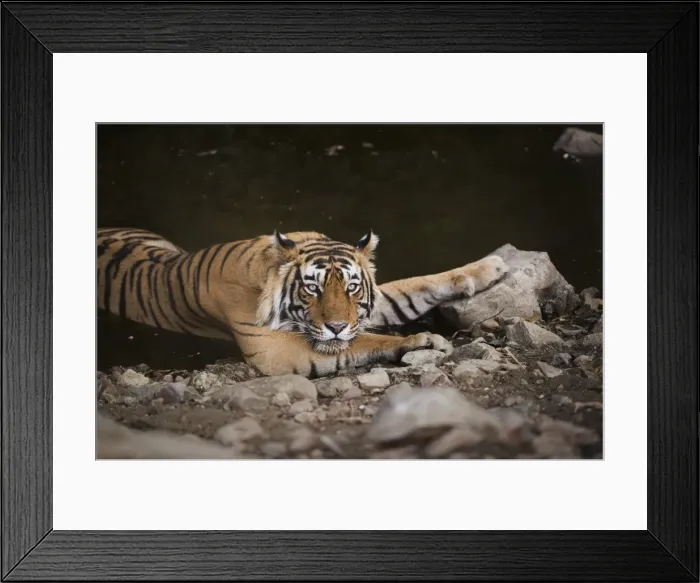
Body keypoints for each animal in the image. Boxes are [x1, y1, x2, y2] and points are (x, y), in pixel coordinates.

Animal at [97, 227, 509, 378]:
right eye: (312, 289)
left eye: (352, 287)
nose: (337, 326)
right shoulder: (273, 349)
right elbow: (368, 340)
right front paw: (422, 340)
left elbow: (417, 285)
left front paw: (490, 266)